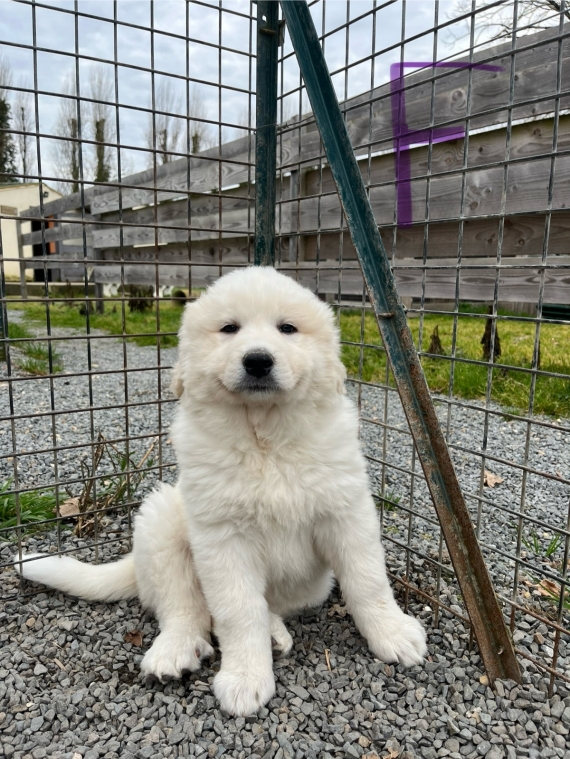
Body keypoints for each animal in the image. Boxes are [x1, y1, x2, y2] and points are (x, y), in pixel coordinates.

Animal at [14, 268, 426, 720]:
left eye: (287, 328)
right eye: (229, 329)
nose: (258, 360)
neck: (265, 439)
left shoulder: (345, 511)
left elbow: (368, 581)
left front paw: (393, 633)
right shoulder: (223, 537)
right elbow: (237, 610)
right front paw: (245, 679)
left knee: (260, 607)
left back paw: (275, 634)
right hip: (161, 521)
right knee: (186, 609)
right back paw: (176, 651)